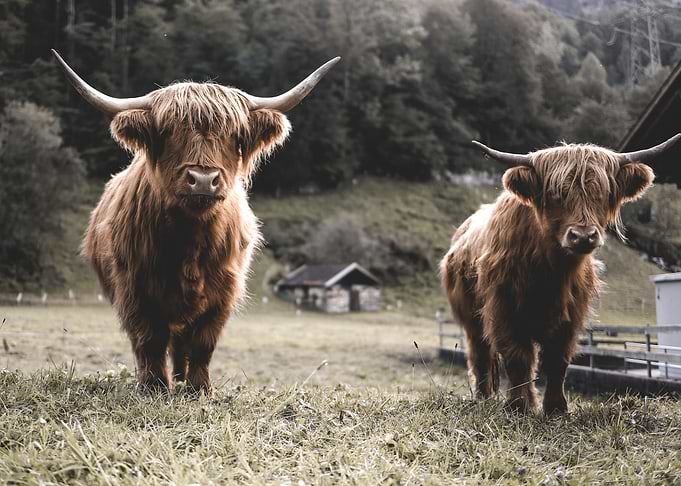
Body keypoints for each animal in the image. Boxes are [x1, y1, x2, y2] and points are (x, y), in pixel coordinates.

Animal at [52, 50, 339, 393]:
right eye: (168, 132)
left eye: (235, 135)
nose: (203, 180)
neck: (191, 238)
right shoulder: (135, 289)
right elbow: (149, 340)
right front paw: (154, 387)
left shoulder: (223, 292)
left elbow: (203, 342)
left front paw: (199, 388)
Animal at [440, 135, 680, 414]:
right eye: (555, 194)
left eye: (604, 194)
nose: (583, 236)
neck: (551, 270)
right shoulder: (504, 308)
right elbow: (516, 358)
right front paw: (517, 407)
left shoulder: (572, 312)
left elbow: (557, 360)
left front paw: (555, 408)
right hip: (471, 317)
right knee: (480, 353)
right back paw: (483, 397)